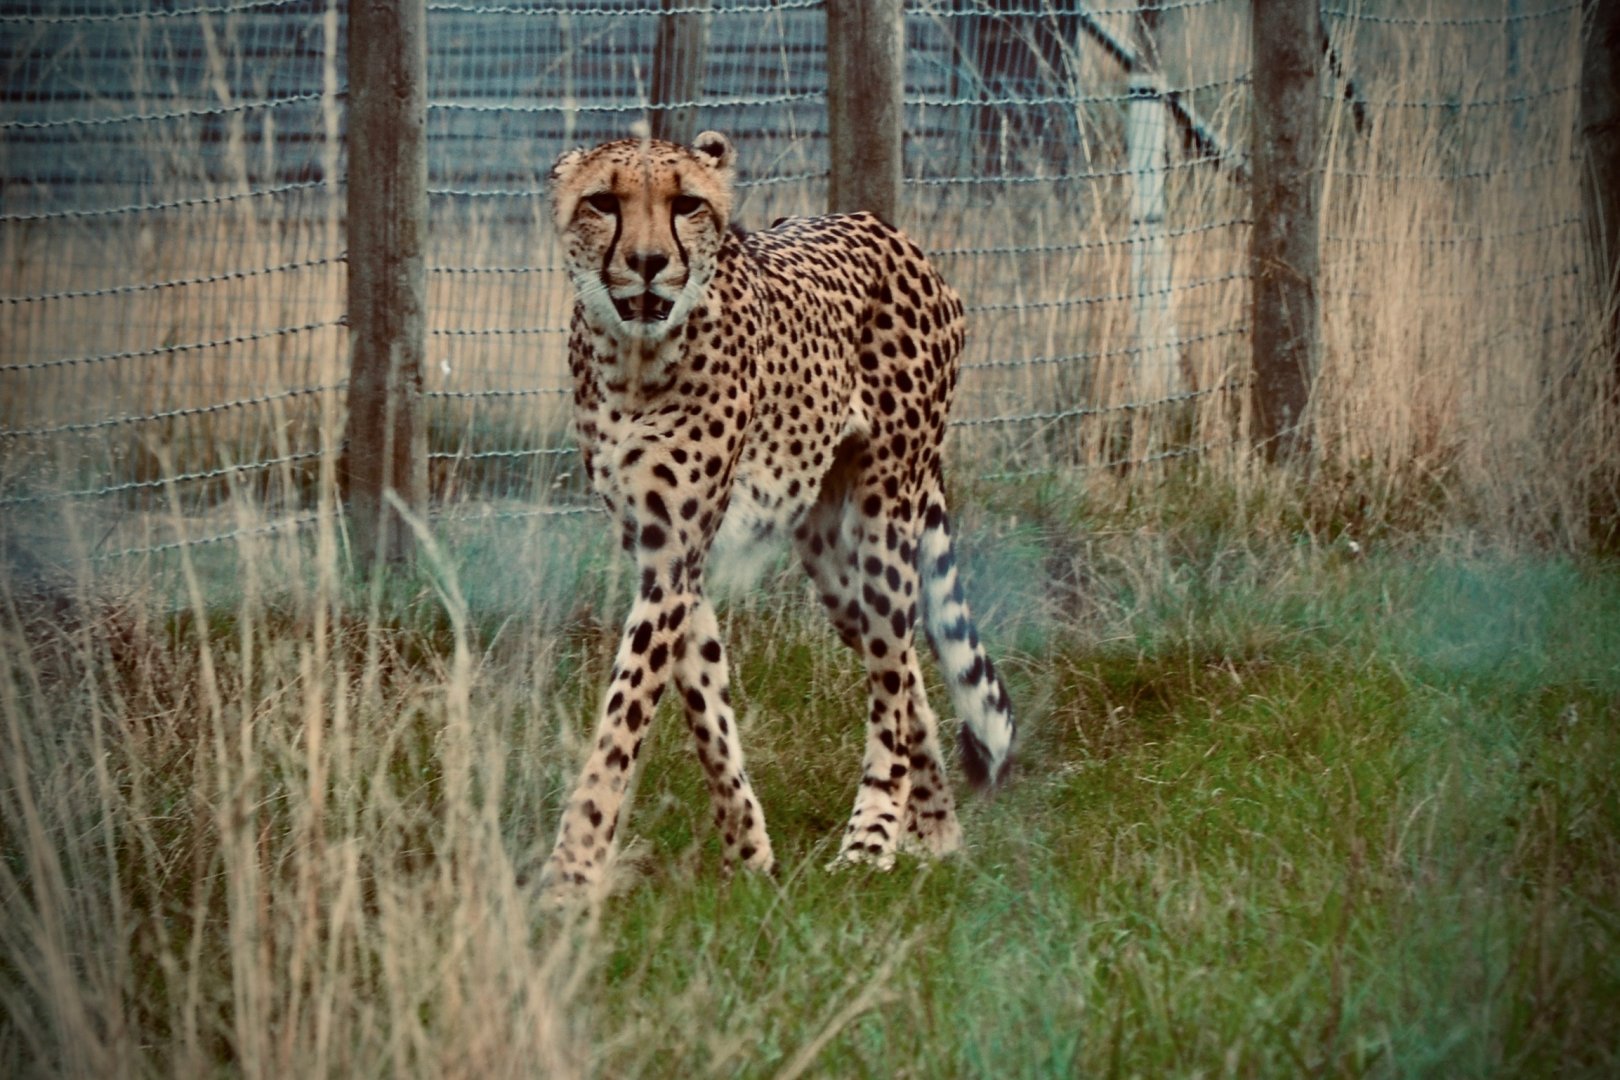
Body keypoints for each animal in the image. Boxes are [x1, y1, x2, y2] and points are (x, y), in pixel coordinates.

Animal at [537, 130, 1015, 899]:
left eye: (687, 205)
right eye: (603, 203)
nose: (649, 263)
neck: (634, 361)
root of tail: (883, 227)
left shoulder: (672, 559)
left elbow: (621, 721)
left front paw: (571, 876)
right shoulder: (663, 552)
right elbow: (703, 703)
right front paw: (751, 856)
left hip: (886, 516)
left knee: (891, 677)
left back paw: (872, 839)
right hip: (830, 556)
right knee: (904, 666)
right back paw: (937, 832)